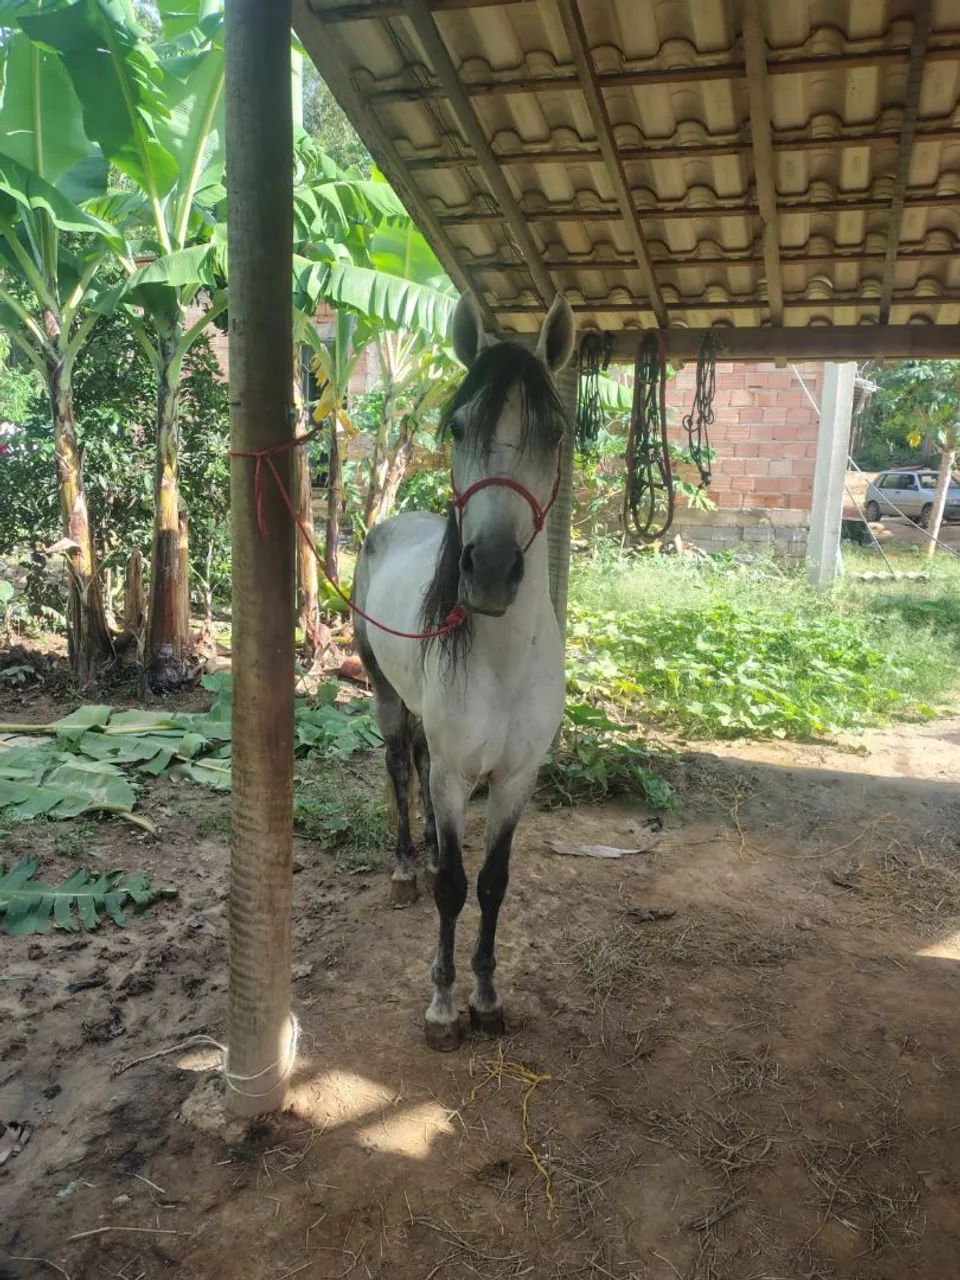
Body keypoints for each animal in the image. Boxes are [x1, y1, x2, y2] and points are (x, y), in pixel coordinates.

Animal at [352, 291, 576, 1050]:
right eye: (456, 425)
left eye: (557, 434)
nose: (492, 571)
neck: (502, 666)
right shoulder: (458, 777)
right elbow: (453, 886)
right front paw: (444, 1006)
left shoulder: (516, 778)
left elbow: (493, 883)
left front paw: (486, 995)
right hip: (386, 693)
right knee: (401, 766)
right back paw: (404, 865)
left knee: (418, 763)